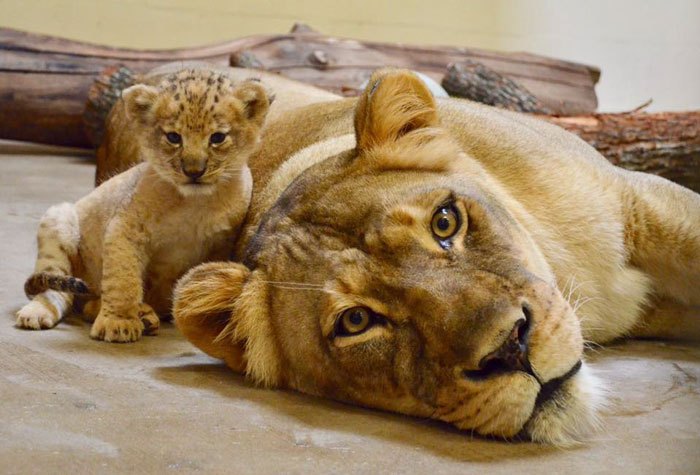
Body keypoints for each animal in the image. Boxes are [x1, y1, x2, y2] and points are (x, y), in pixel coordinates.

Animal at [16, 69, 271, 342]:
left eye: (218, 138)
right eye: (173, 137)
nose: (194, 171)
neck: (196, 202)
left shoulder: (221, 243)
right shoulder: (125, 227)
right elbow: (123, 277)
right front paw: (118, 323)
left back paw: (141, 314)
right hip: (58, 220)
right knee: (57, 285)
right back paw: (38, 313)